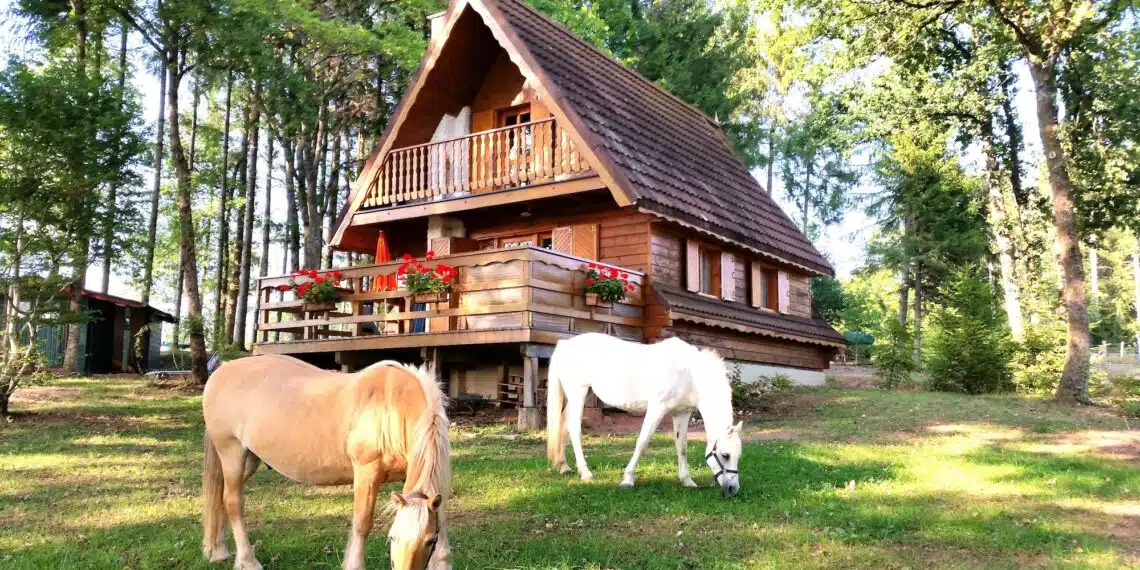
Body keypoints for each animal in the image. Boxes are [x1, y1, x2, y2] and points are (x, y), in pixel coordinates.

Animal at [201, 354, 451, 570]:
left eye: (430, 540)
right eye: (393, 538)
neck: (391, 406)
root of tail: (221, 371)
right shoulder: (367, 472)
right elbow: (362, 523)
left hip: (249, 460)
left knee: (221, 496)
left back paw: (217, 551)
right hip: (232, 453)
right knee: (233, 502)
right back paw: (247, 561)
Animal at [546, 333, 743, 497]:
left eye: (738, 456)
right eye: (725, 455)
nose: (733, 489)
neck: (689, 373)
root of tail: (564, 344)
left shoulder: (681, 414)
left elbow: (682, 447)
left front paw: (687, 481)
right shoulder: (657, 409)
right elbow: (642, 443)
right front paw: (628, 479)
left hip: (583, 394)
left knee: (563, 423)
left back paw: (564, 467)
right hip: (578, 393)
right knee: (574, 428)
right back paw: (585, 473)